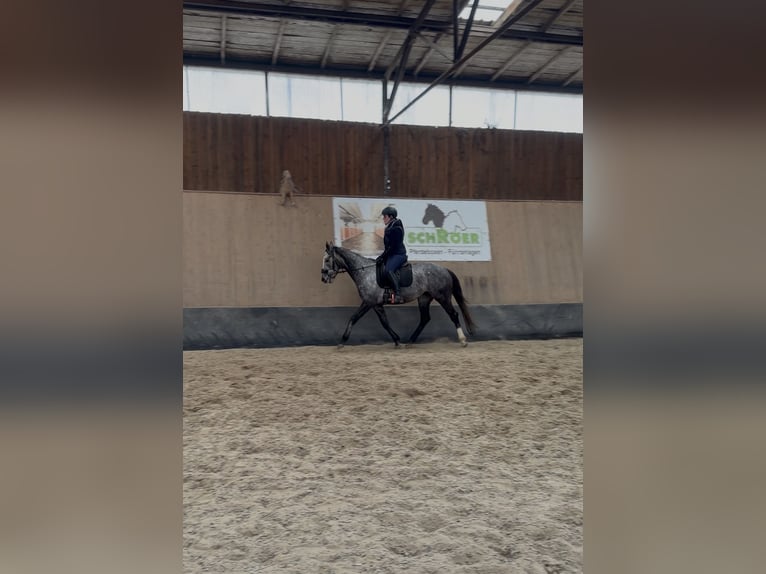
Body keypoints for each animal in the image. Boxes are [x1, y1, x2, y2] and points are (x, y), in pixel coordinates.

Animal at [321, 242, 476, 348]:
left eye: (327, 259)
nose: (323, 278)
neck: (364, 272)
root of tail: (444, 269)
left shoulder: (368, 302)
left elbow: (354, 318)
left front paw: (342, 341)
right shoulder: (376, 304)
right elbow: (384, 322)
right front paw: (397, 340)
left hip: (442, 297)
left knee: (453, 315)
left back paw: (463, 341)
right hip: (424, 298)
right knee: (425, 319)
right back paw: (410, 341)